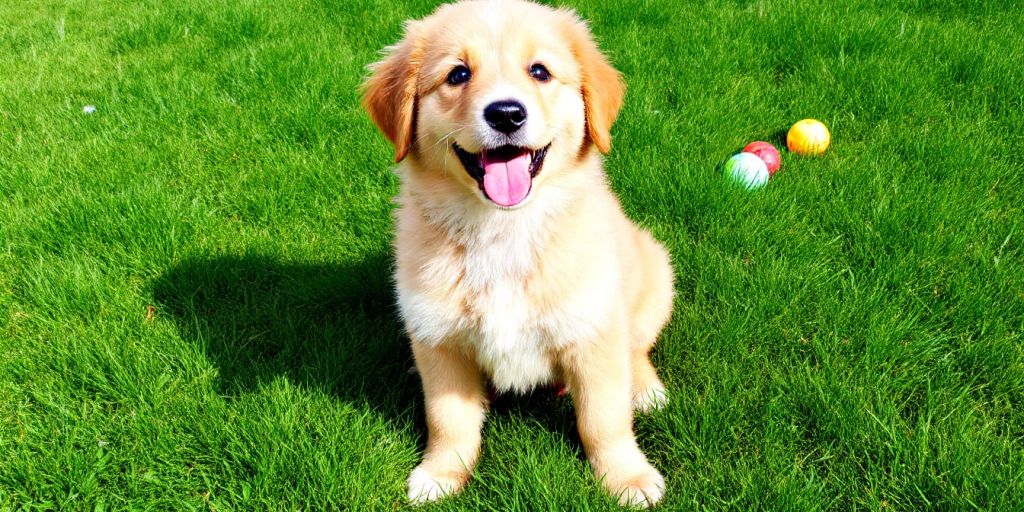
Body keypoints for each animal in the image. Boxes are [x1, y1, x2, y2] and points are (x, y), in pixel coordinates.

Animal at [364, 0, 675, 505]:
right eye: (457, 74)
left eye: (539, 71)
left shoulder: (593, 332)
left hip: (655, 274)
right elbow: (448, 421)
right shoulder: (439, 340)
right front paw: (441, 474)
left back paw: (646, 390)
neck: (502, 227)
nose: (507, 114)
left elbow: (604, 420)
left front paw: (626, 477)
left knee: (637, 347)